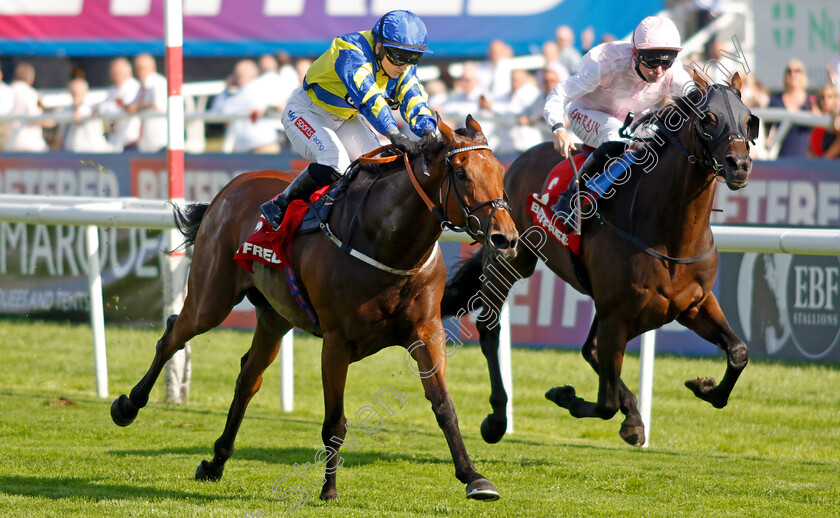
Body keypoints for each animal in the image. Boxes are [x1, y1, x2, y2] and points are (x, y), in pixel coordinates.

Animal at [111, 117, 520, 504]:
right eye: (462, 174)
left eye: (500, 173)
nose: (505, 238)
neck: (386, 243)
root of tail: (231, 187)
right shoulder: (336, 344)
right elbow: (334, 422)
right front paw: (329, 490)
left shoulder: (426, 332)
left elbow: (444, 406)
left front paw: (474, 477)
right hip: (211, 298)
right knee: (172, 336)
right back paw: (127, 406)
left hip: (274, 316)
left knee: (248, 379)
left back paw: (215, 461)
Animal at [442, 72, 756, 446]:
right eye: (708, 118)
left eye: (749, 119)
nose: (739, 165)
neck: (670, 236)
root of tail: (515, 161)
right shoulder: (616, 317)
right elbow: (605, 404)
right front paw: (567, 397)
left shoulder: (692, 304)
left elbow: (738, 352)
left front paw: (704, 387)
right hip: (511, 260)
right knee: (491, 330)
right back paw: (497, 419)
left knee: (589, 350)